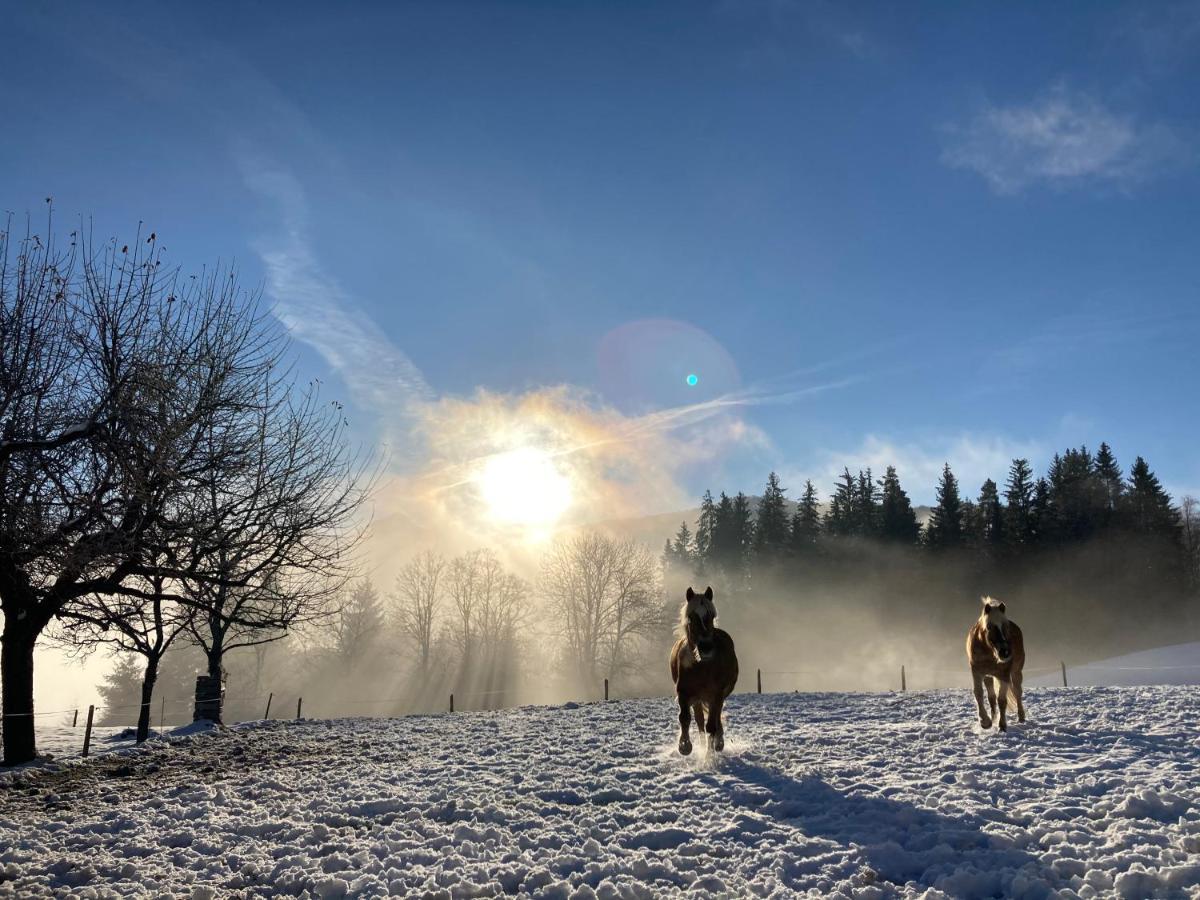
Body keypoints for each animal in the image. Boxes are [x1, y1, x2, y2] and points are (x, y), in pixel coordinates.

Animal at [672, 588, 734, 758]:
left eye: (711, 616)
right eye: (691, 617)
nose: (706, 648)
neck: (701, 667)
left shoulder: (716, 695)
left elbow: (712, 725)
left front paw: (710, 754)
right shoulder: (684, 693)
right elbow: (685, 718)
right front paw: (685, 746)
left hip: (716, 698)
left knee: (716, 718)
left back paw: (718, 743)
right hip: (697, 699)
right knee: (700, 721)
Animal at [960, 600, 1027, 734]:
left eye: (1006, 626)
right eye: (989, 627)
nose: (1005, 652)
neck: (988, 651)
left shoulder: (1004, 675)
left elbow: (1002, 700)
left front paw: (1002, 725)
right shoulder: (977, 672)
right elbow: (979, 694)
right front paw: (985, 722)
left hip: (1016, 673)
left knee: (1017, 692)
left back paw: (1021, 717)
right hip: (988, 676)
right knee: (991, 697)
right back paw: (994, 717)